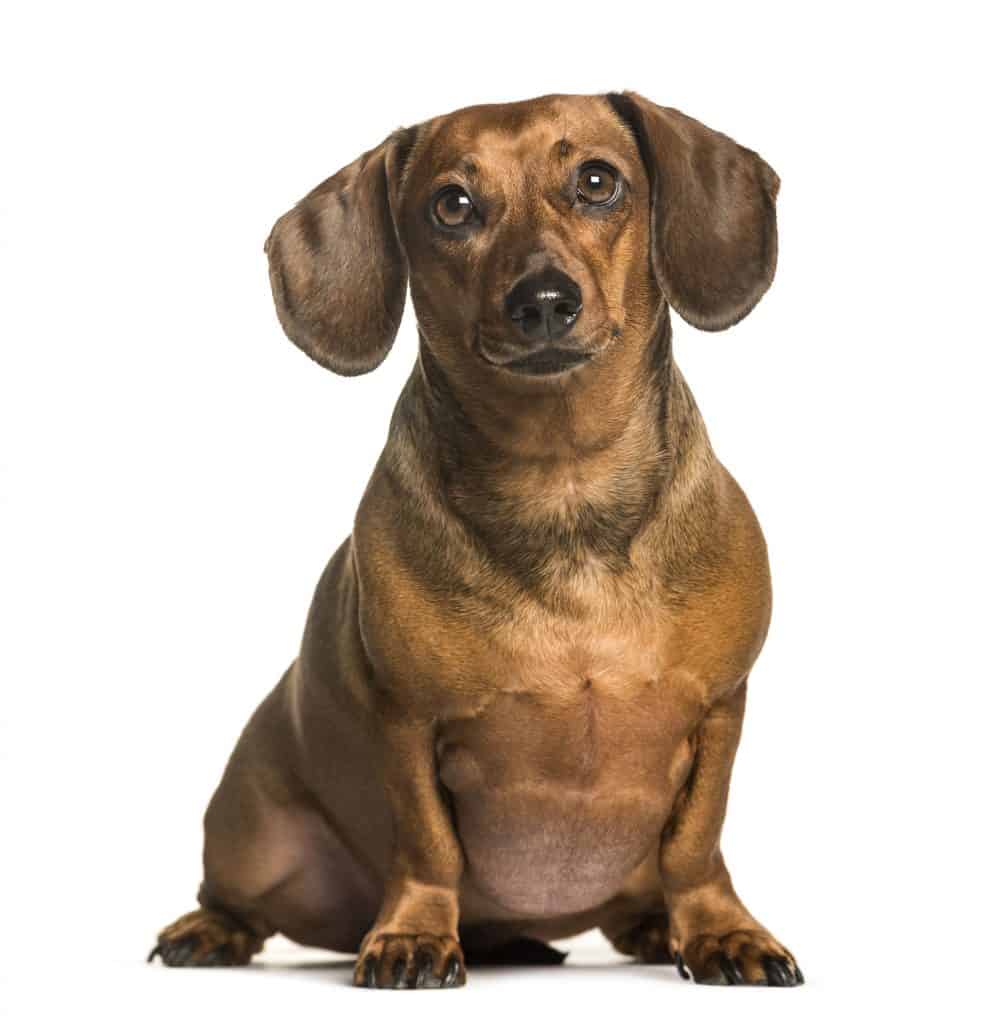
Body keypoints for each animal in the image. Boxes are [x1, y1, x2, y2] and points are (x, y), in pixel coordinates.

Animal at [150, 92, 802, 987]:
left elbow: (696, 845)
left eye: (597, 181)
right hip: (253, 836)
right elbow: (429, 847)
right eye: (451, 205)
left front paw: (718, 930)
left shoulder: (720, 708)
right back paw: (212, 930)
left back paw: (644, 927)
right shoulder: (407, 720)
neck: (564, 483)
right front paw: (414, 934)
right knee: (235, 896)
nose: (545, 301)